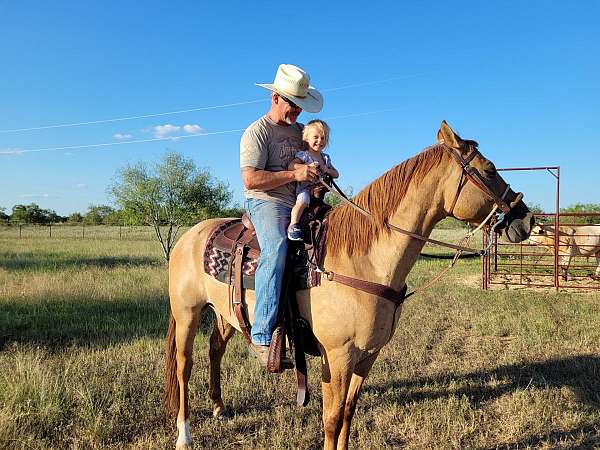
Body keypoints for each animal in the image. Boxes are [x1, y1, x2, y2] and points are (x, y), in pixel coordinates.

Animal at [163, 121, 536, 448]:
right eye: (490, 170)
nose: (528, 220)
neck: (364, 263)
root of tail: (189, 236)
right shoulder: (337, 355)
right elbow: (331, 418)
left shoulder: (368, 354)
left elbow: (348, 414)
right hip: (187, 313)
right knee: (184, 366)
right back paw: (185, 435)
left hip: (227, 313)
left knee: (215, 349)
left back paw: (219, 408)